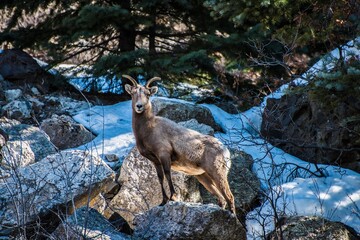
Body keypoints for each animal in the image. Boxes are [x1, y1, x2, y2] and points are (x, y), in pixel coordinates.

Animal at [124, 74, 236, 214]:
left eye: (148, 94)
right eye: (133, 93)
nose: (139, 106)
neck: (148, 129)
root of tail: (225, 151)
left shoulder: (164, 155)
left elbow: (168, 174)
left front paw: (173, 197)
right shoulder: (155, 161)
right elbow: (160, 177)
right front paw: (163, 201)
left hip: (218, 173)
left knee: (230, 198)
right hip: (204, 177)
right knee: (221, 199)